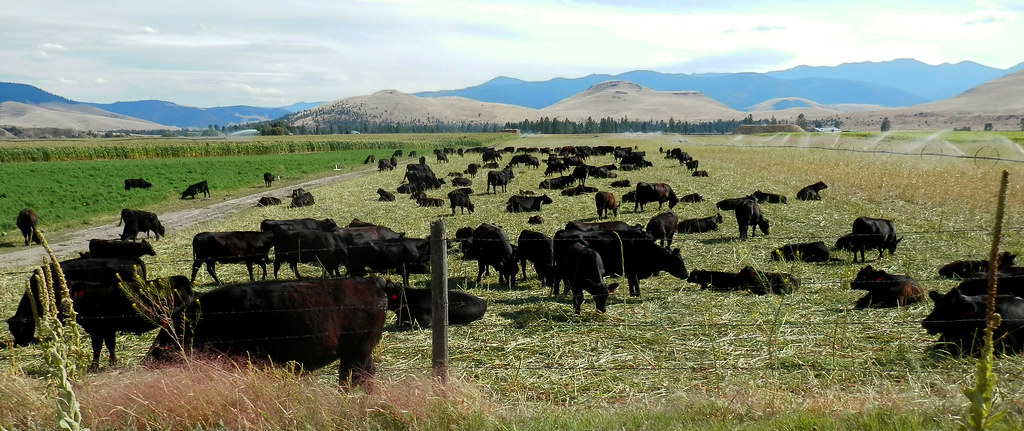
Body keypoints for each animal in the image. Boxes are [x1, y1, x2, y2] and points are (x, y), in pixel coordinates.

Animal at [146, 278, 387, 389]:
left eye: (166, 335)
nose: (148, 360)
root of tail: (371, 283)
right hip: (359, 355)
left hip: (355, 355)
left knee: (353, 379)